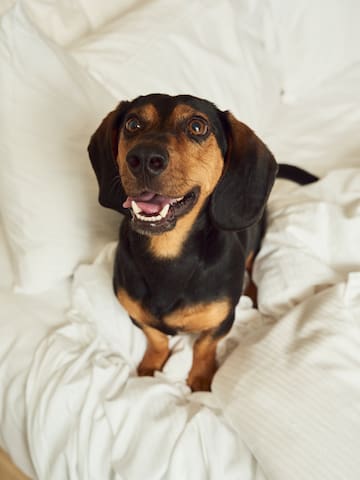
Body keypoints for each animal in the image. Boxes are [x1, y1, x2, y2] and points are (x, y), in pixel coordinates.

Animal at [88, 93, 318, 390]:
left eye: (198, 127)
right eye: (132, 123)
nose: (143, 157)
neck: (168, 255)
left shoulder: (221, 322)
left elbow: (203, 348)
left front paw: (200, 379)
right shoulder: (137, 315)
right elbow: (157, 338)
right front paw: (151, 364)